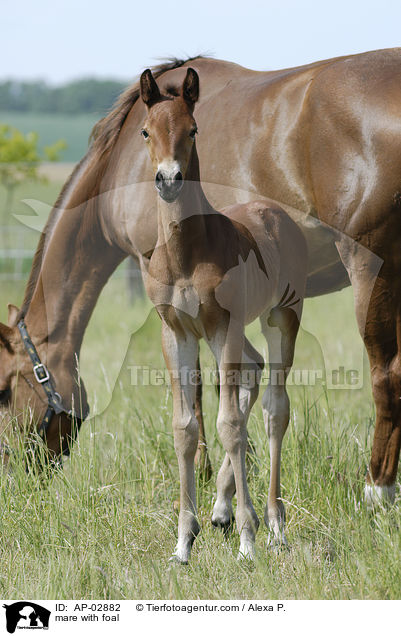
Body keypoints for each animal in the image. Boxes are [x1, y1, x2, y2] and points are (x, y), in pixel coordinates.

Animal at [0, 48, 398, 506]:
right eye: (147, 132)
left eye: (4, 391)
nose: (12, 475)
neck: (121, 164)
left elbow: (198, 385)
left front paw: (206, 473)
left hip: (369, 269)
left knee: (386, 372)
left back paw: (377, 488)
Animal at [138, 66, 306, 560]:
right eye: (146, 131)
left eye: (193, 129)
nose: (169, 179)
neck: (186, 254)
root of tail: (275, 212)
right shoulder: (176, 333)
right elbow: (186, 428)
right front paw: (183, 540)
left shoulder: (223, 325)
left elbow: (228, 425)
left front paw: (248, 540)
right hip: (230, 335)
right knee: (252, 370)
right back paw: (221, 509)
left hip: (278, 319)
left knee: (273, 409)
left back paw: (273, 524)